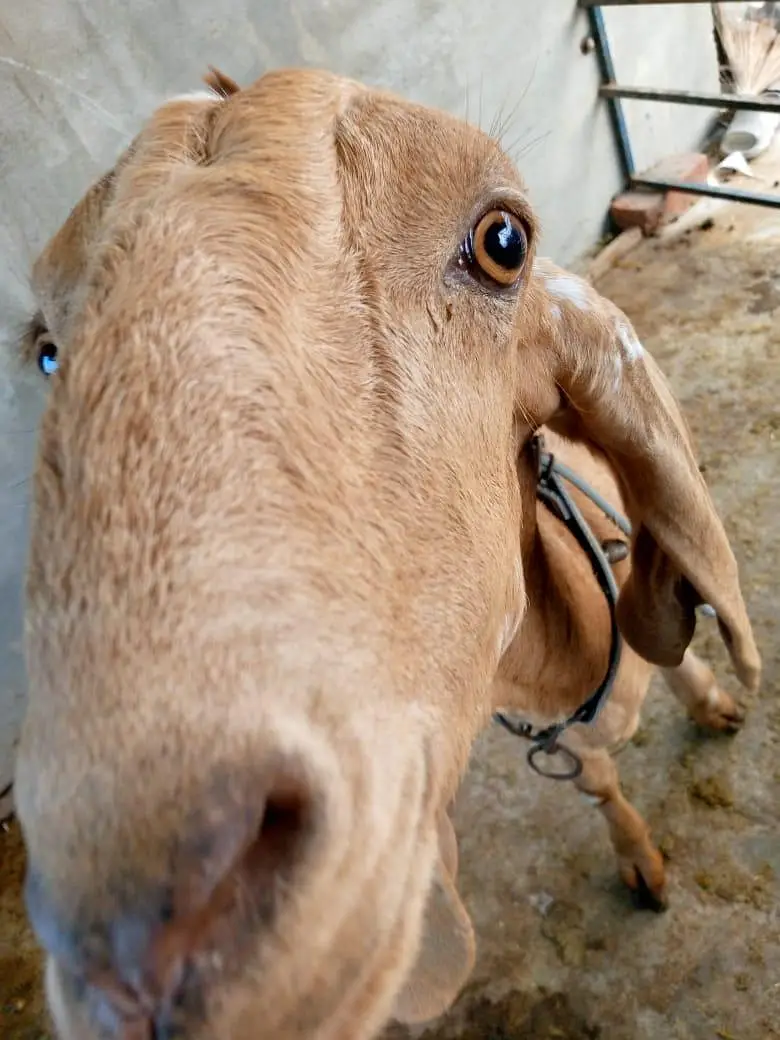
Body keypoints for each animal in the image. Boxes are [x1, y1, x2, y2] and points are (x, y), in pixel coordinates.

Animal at [14, 68, 760, 1040]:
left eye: (504, 242)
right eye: (47, 354)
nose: (141, 944)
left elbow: (672, 642)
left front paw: (711, 701)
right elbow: (598, 779)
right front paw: (640, 857)